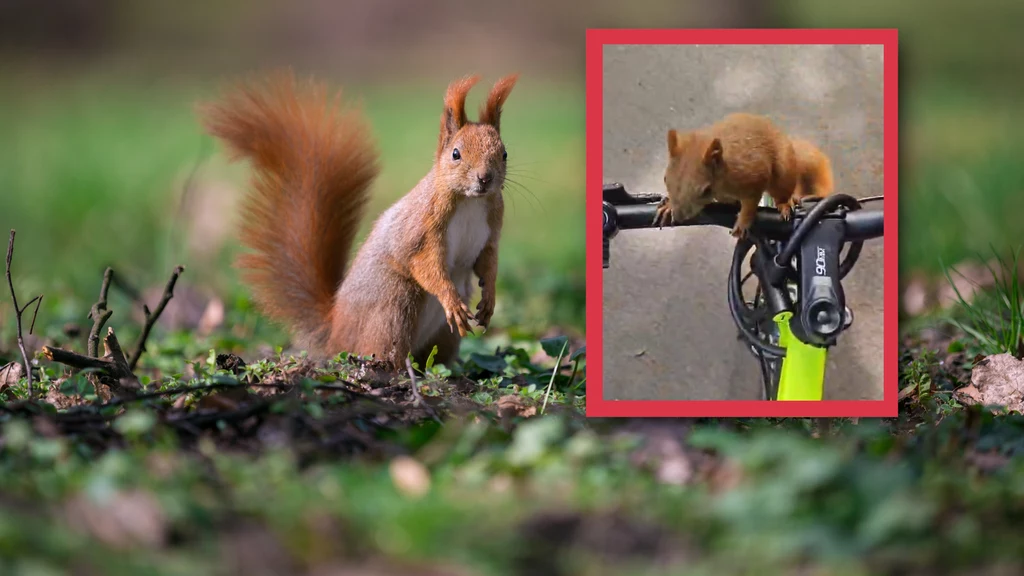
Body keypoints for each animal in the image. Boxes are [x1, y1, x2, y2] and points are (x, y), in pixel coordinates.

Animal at [197, 71, 520, 364]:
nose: (485, 179)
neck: (469, 201)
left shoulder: (491, 231)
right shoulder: (421, 226)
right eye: (455, 154)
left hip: (443, 335)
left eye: (504, 153)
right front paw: (449, 298)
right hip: (394, 306)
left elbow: (488, 262)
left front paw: (489, 299)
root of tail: (336, 333)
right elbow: (424, 263)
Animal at [655, 111, 831, 236]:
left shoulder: (753, 176)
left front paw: (743, 222)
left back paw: (784, 204)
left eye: (706, 190)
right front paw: (668, 206)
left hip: (784, 171)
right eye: (665, 179)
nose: (678, 216)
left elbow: (751, 203)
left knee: (782, 192)